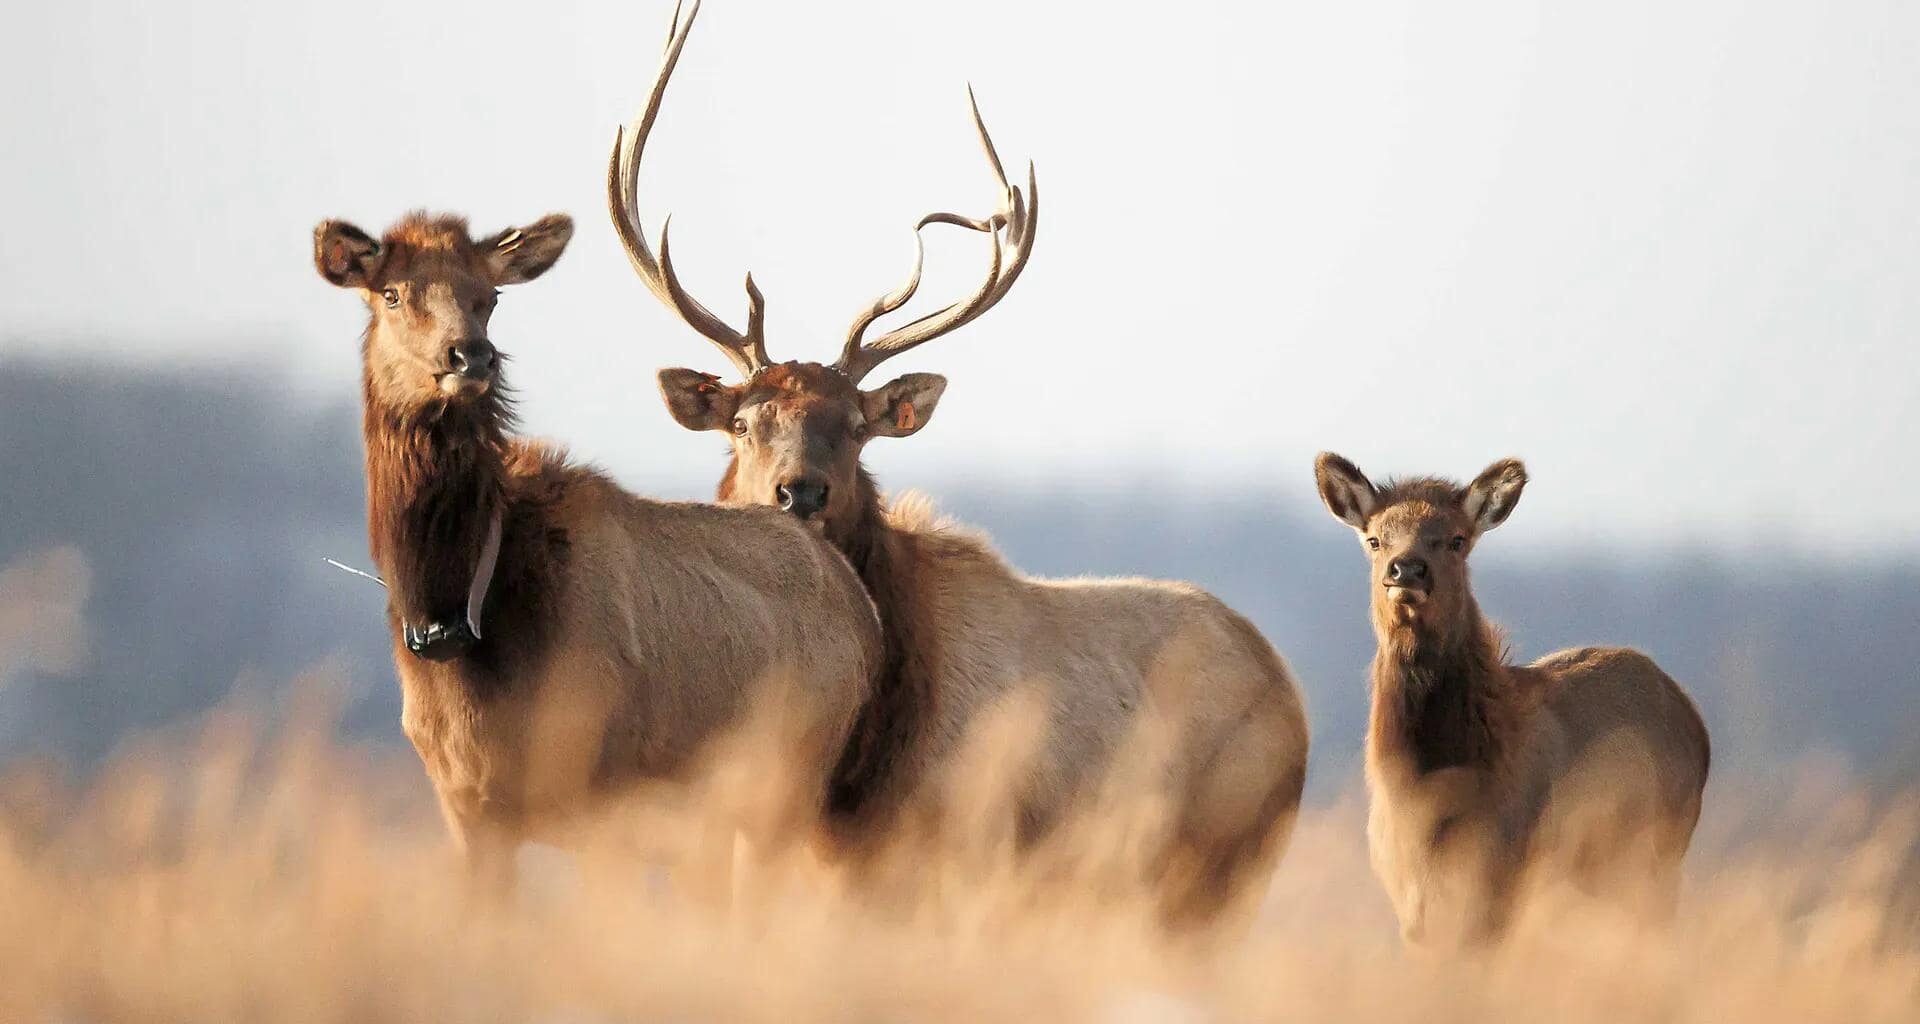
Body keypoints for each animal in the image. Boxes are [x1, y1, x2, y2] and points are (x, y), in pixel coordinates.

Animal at [311, 208, 883, 895]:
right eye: (392, 293)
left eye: (490, 297)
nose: (470, 355)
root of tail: (863, 605)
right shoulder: (464, 805)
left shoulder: (600, 792)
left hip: (781, 789)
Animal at [605, 0, 1309, 929]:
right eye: (746, 423)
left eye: (855, 427)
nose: (799, 491)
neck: (859, 764)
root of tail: (1293, 696)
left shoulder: (950, 855)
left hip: (1220, 868)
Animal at [1313, 453, 1711, 946]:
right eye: (1374, 539)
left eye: (1456, 539)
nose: (1406, 570)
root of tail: (1695, 721)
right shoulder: (1406, 895)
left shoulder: (1502, 873)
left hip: (1660, 852)